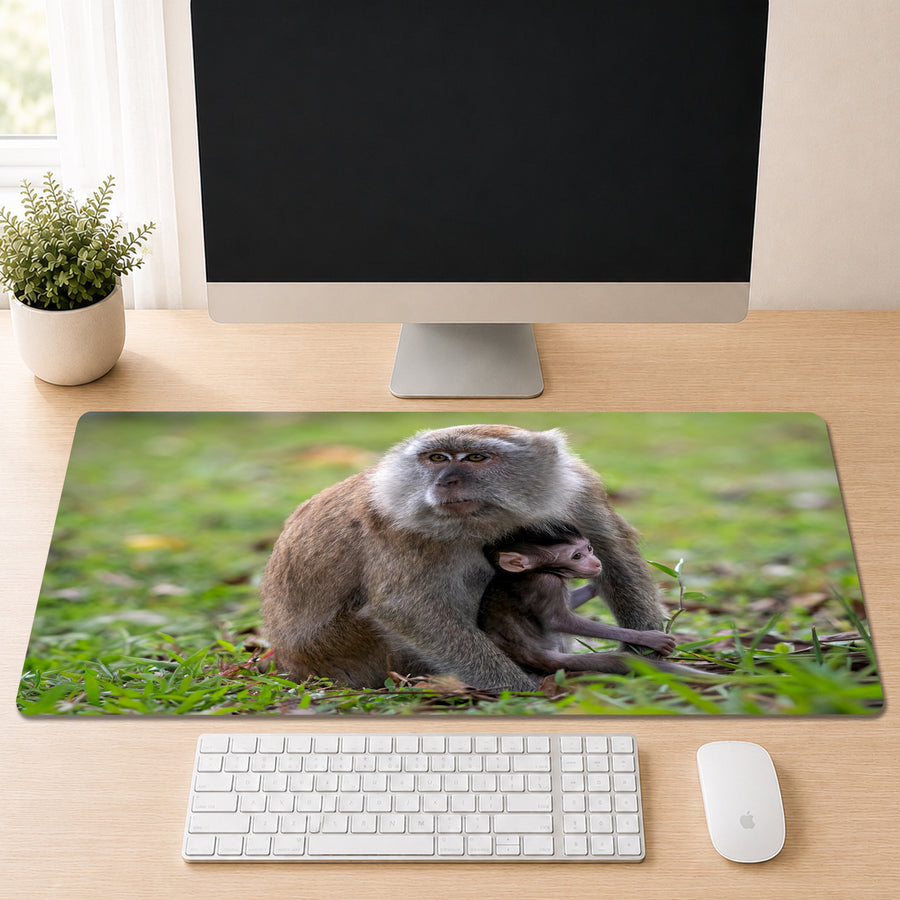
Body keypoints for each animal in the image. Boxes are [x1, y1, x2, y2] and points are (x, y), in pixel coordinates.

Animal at [478, 524, 686, 679]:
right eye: (576, 556)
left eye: (589, 548)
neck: (536, 571)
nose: (596, 562)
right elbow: (559, 621)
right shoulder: (547, 583)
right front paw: (647, 638)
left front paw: (598, 584)